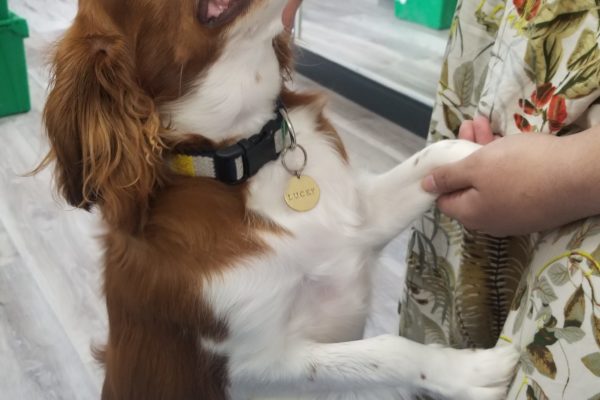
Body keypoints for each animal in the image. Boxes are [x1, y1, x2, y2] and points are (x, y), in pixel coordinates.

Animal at [42, 0, 520, 400]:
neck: (247, 153)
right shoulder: (251, 366)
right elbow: (384, 351)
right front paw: (469, 372)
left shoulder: (359, 221)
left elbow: (436, 156)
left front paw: (501, 159)